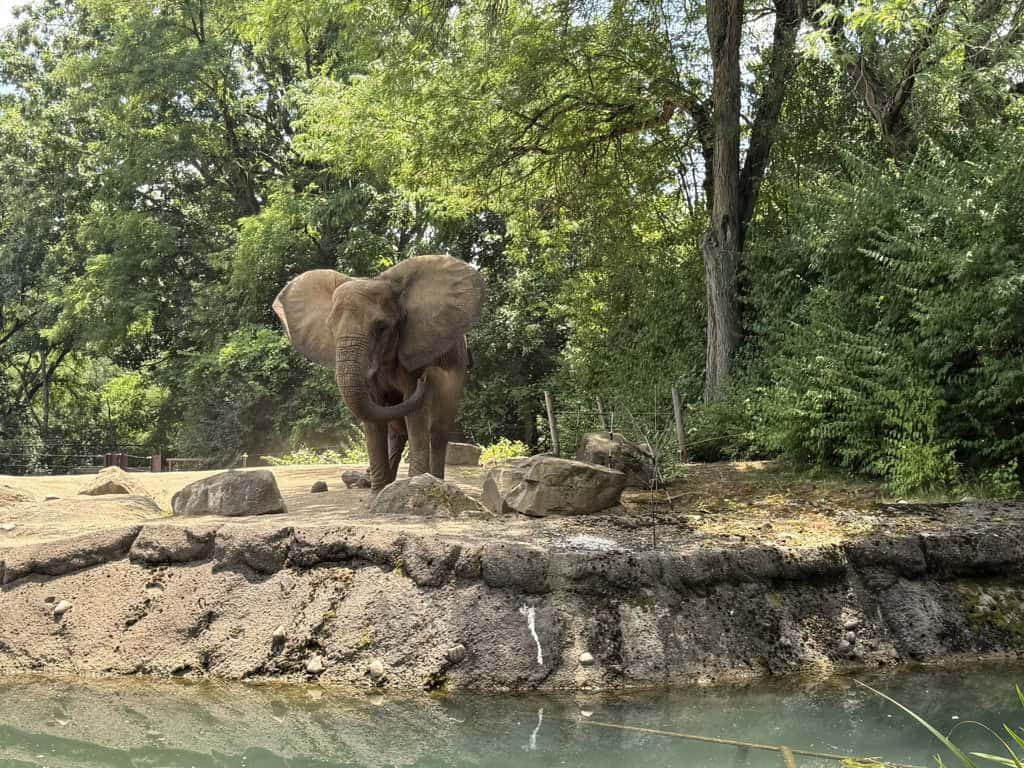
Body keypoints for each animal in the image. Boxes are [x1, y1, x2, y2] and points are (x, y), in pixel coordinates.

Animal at [272, 254, 484, 498]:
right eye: (330, 328)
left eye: (381, 327)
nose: (424, 379)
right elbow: (374, 416)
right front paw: (377, 495)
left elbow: (416, 415)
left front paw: (414, 487)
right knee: (396, 430)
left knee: (437, 432)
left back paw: (435, 481)